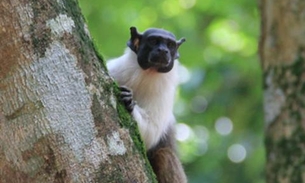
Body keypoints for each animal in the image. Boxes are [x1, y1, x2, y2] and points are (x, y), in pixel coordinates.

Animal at [107, 26, 188, 183]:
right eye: (154, 41)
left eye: (170, 45)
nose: (163, 50)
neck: (148, 73)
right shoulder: (115, 70)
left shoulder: (165, 93)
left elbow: (151, 132)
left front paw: (129, 103)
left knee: (164, 156)